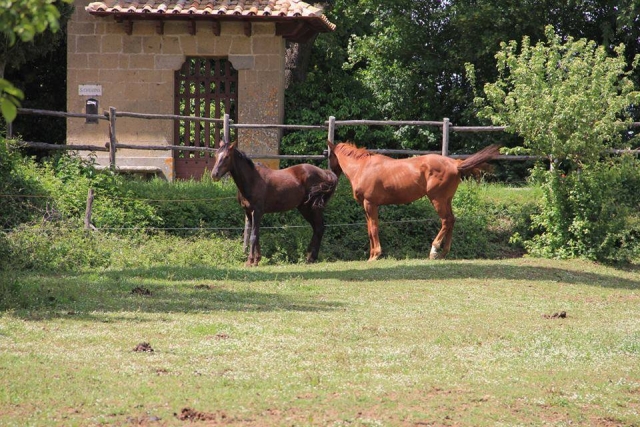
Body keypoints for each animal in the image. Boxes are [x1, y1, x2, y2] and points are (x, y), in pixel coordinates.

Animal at [327, 141, 501, 261]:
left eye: (329, 155)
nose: (330, 175)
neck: (362, 168)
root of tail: (455, 164)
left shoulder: (370, 204)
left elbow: (374, 229)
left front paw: (375, 255)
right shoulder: (366, 207)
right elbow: (369, 230)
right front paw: (371, 255)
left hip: (437, 200)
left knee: (446, 220)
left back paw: (434, 250)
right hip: (447, 200)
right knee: (452, 220)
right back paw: (443, 253)